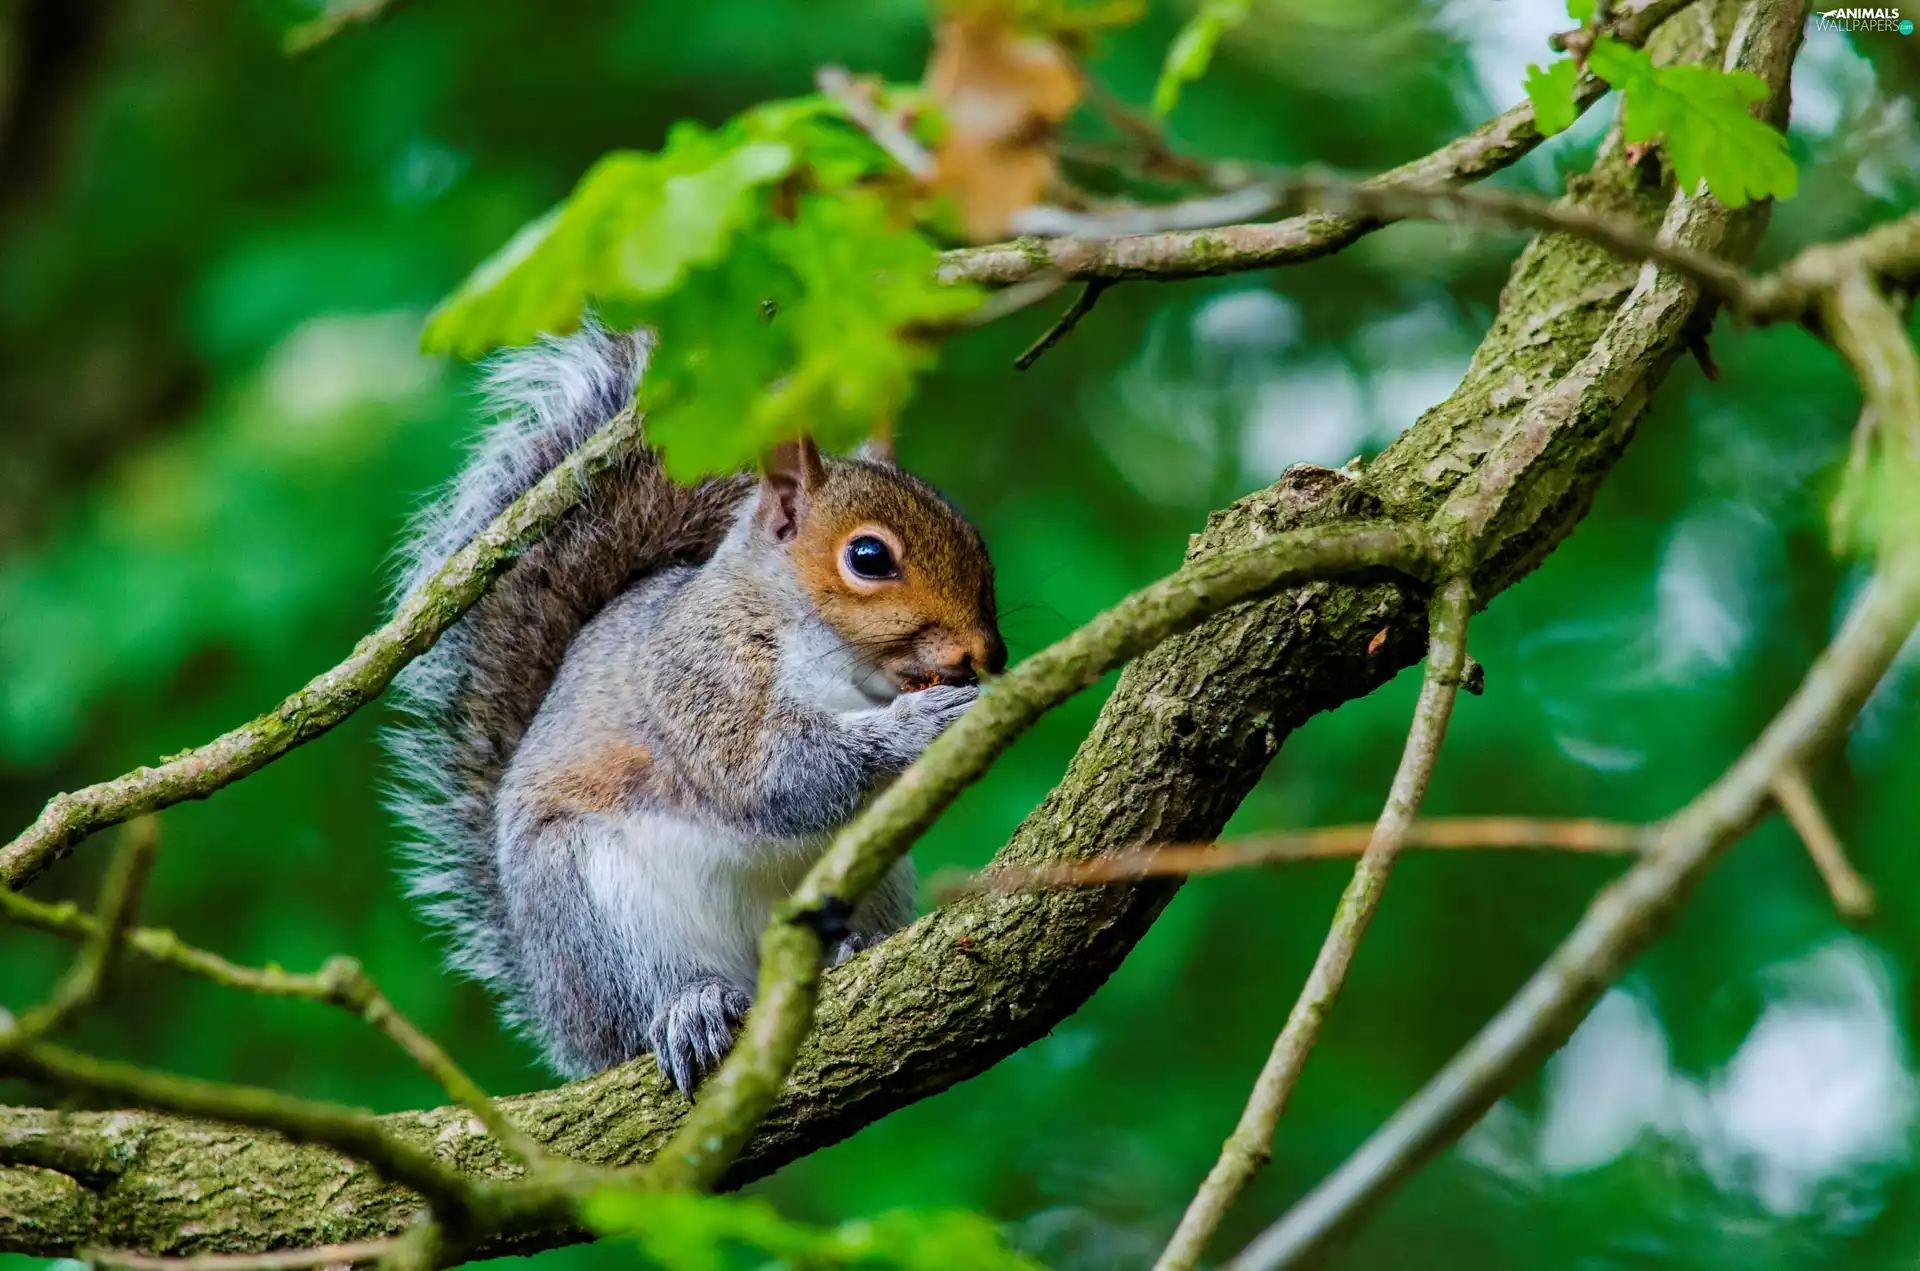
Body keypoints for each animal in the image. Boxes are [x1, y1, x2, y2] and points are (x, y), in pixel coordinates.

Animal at [386, 319, 1005, 1095]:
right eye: (869, 557)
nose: (988, 653)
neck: (835, 663)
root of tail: (568, 1028)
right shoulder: (698, 676)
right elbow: (771, 774)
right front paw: (913, 725)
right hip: (592, 911)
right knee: (643, 997)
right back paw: (692, 1006)